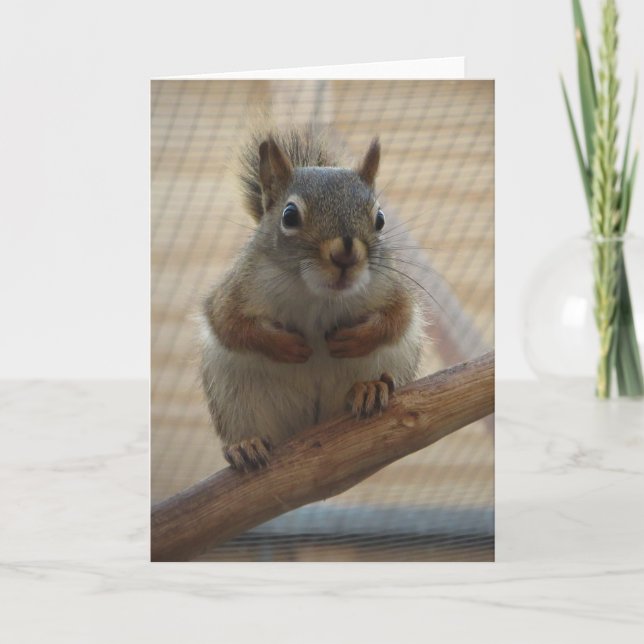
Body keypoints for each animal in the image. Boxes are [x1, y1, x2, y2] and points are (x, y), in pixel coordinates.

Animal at [200, 127, 424, 471]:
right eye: (289, 215)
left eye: (380, 219)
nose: (345, 253)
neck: (318, 294)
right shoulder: (235, 290)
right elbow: (230, 324)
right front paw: (284, 345)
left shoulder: (390, 287)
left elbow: (399, 317)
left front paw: (356, 339)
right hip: (233, 394)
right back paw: (245, 444)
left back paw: (369, 388)